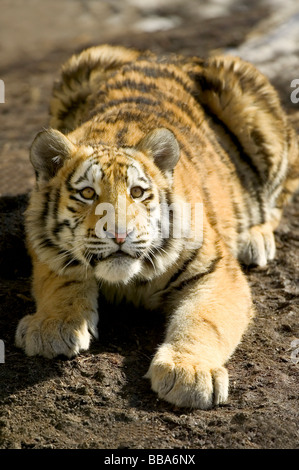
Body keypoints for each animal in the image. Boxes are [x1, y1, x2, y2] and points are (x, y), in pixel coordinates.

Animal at [15, 46, 299, 410]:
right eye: (88, 193)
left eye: (137, 192)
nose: (119, 235)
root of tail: (167, 54)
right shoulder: (46, 246)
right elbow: (60, 281)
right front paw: (52, 327)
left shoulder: (217, 271)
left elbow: (204, 320)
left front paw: (189, 371)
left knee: (280, 191)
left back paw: (255, 237)